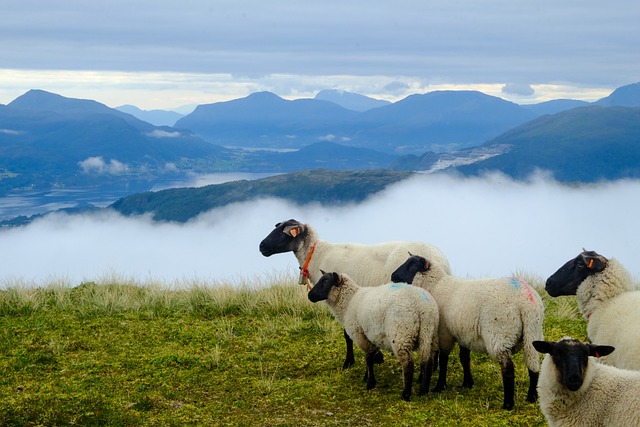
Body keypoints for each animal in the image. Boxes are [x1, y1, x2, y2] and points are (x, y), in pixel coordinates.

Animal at [256, 219, 450, 370]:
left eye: (284, 232)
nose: (261, 246)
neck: (317, 255)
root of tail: (440, 260)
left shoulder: (345, 301)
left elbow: (347, 335)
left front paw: (351, 361)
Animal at [306, 270, 440, 402]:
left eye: (325, 282)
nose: (309, 295)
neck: (349, 301)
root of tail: (423, 307)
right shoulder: (372, 336)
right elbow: (371, 355)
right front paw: (367, 376)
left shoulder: (360, 335)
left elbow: (368, 358)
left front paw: (370, 382)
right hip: (429, 335)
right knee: (428, 361)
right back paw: (423, 391)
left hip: (401, 335)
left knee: (408, 364)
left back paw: (406, 394)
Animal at [390, 254, 544, 412]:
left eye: (413, 266)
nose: (393, 276)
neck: (436, 285)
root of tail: (526, 301)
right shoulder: (464, 334)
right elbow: (464, 358)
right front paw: (467, 383)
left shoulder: (444, 332)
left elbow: (444, 359)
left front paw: (440, 385)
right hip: (532, 333)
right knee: (533, 365)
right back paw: (532, 397)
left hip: (500, 334)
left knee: (508, 370)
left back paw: (508, 404)